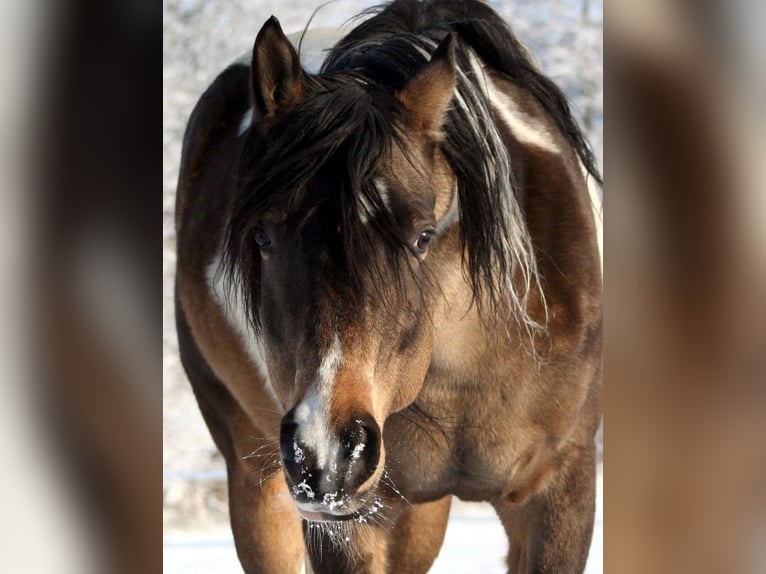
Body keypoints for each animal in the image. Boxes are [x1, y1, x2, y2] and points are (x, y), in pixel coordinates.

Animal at [177, 2, 604, 572]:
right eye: (262, 235)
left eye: (423, 236)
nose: (327, 452)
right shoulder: (350, 523)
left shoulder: (560, 493)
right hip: (259, 482)